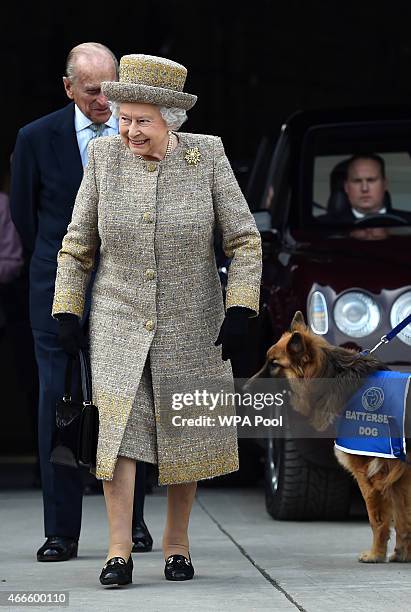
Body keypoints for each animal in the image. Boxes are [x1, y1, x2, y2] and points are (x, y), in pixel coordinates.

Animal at [260, 310, 411, 564]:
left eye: (274, 365)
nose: (242, 388)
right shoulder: (399, 478)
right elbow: (403, 519)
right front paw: (401, 554)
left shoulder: (369, 476)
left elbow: (377, 520)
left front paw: (375, 554)